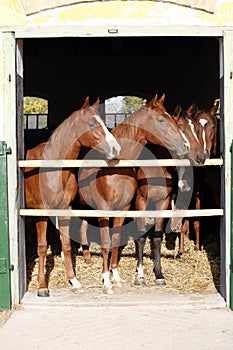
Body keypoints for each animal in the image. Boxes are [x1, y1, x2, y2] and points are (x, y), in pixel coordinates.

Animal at [24, 97, 121, 296]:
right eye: (91, 124)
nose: (116, 149)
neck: (53, 168)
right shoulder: (40, 212)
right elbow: (42, 247)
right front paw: (42, 286)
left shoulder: (64, 209)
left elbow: (67, 245)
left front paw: (74, 282)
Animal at [134, 104, 205, 284]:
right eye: (181, 127)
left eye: (196, 127)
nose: (200, 156)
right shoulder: (140, 201)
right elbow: (141, 237)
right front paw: (140, 274)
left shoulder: (163, 202)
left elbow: (157, 237)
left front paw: (159, 274)